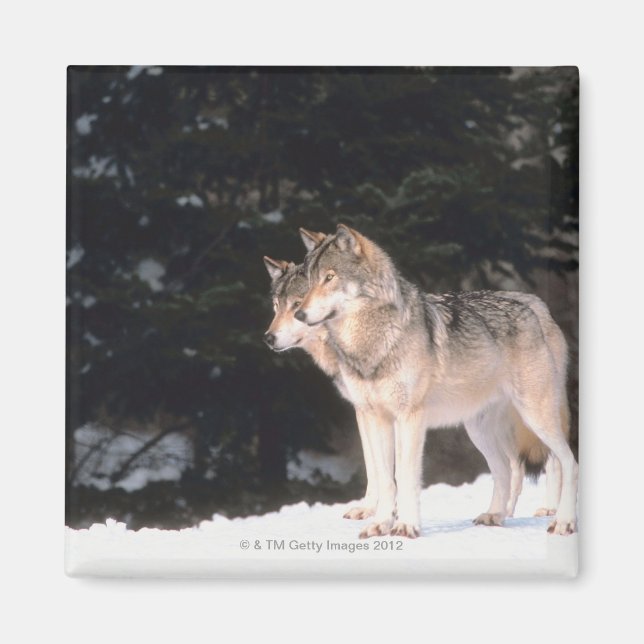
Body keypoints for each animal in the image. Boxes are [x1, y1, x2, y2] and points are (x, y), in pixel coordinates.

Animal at [264, 230, 565, 528]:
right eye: (276, 307)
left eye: (296, 305)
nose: (268, 338)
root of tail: (537, 304)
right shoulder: (366, 410)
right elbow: (375, 465)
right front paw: (375, 510)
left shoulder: (394, 412)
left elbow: (391, 469)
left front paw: (387, 513)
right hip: (482, 423)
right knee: (514, 464)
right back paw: (502, 513)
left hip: (530, 411)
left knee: (548, 458)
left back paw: (549, 510)